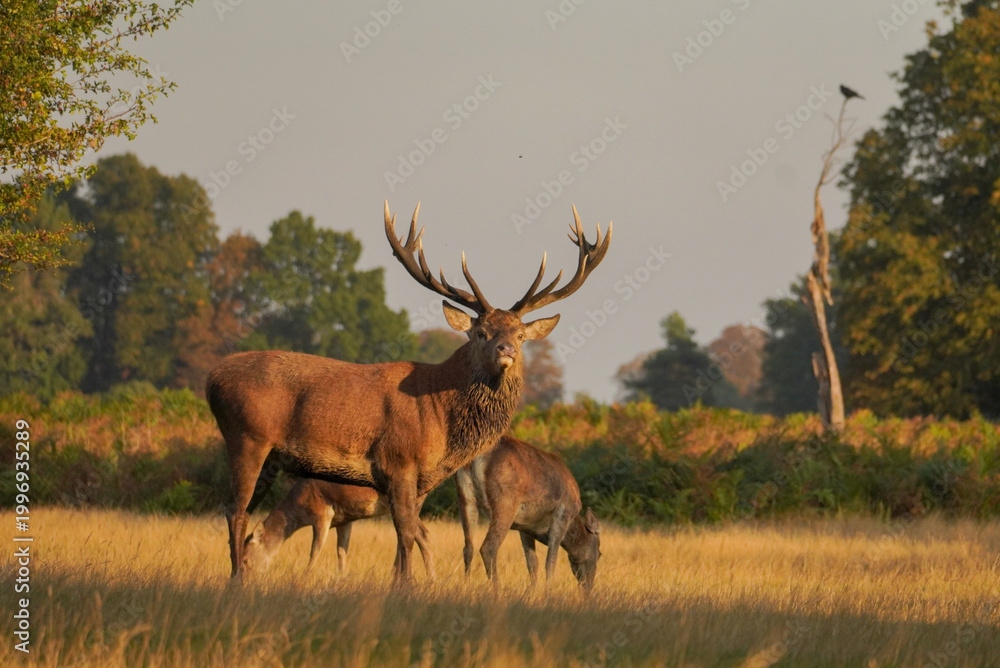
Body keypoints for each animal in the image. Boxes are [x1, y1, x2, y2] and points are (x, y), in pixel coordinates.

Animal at [240, 479, 435, 577]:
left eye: (246, 560)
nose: (247, 581)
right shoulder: (345, 520)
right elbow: (341, 552)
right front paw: (341, 578)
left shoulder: (322, 513)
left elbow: (315, 550)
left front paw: (304, 577)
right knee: (417, 534)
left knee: (419, 534)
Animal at [456, 435, 601, 592]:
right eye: (600, 554)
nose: (589, 587)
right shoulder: (563, 514)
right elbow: (550, 562)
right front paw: (547, 593)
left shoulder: (525, 526)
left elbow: (532, 563)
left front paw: (529, 592)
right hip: (505, 501)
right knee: (488, 548)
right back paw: (496, 591)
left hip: (466, 497)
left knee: (468, 548)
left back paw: (466, 588)